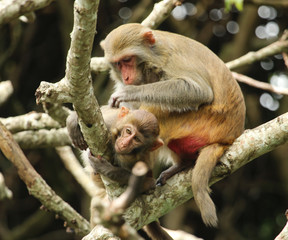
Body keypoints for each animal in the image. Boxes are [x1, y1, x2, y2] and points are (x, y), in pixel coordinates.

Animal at [103, 23, 245, 227]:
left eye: (127, 60)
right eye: (118, 64)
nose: (126, 77)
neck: (153, 55)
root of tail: (230, 137)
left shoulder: (170, 59)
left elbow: (199, 90)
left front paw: (129, 92)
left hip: (203, 121)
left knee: (155, 107)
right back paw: (182, 164)